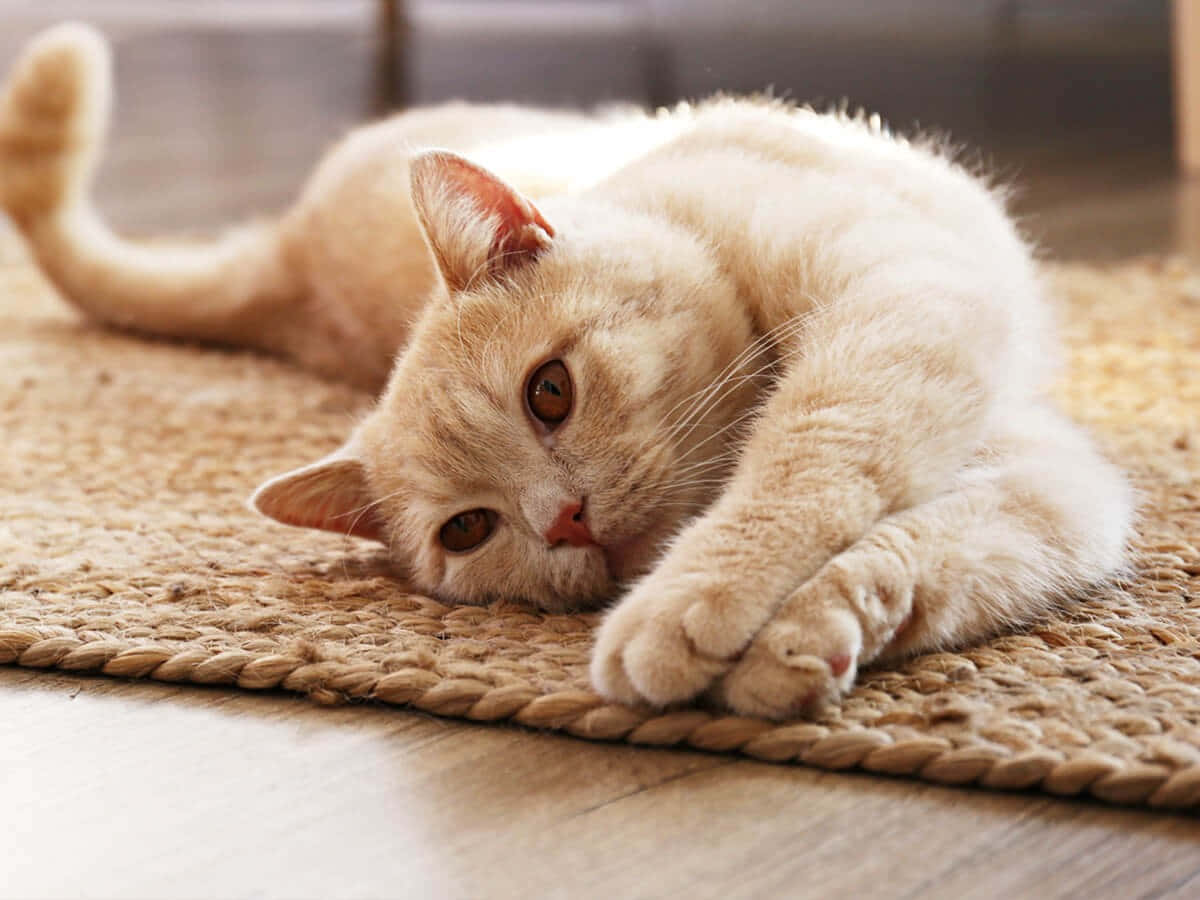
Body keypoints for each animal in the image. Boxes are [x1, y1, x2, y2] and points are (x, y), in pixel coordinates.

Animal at [0, 24, 1132, 724]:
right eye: (469, 531)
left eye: (550, 391)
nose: (567, 522)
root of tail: (289, 254)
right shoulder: (1054, 485)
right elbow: (929, 551)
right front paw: (799, 641)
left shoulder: (907, 306)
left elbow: (809, 465)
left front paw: (703, 610)